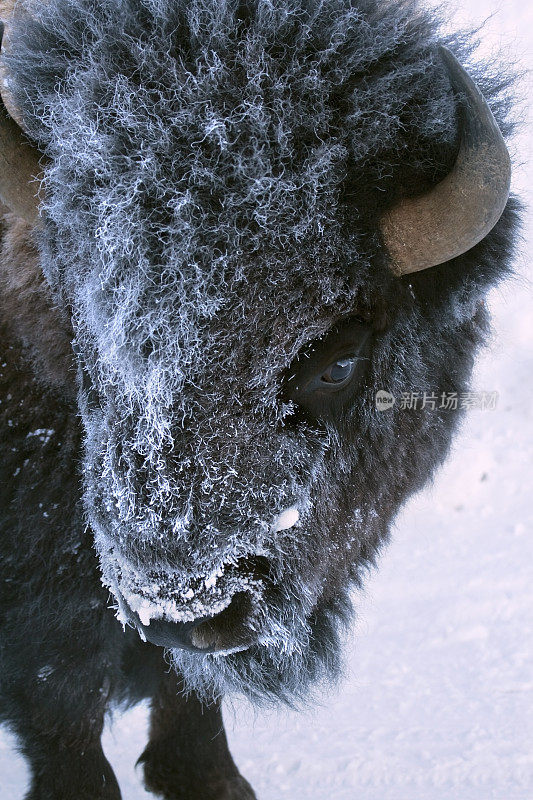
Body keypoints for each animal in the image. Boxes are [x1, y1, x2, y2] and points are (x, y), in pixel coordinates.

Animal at [0, 0, 516, 796]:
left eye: (337, 362)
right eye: (84, 326)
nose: (182, 607)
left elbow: (185, 690)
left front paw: (208, 777)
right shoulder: (42, 611)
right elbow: (64, 712)